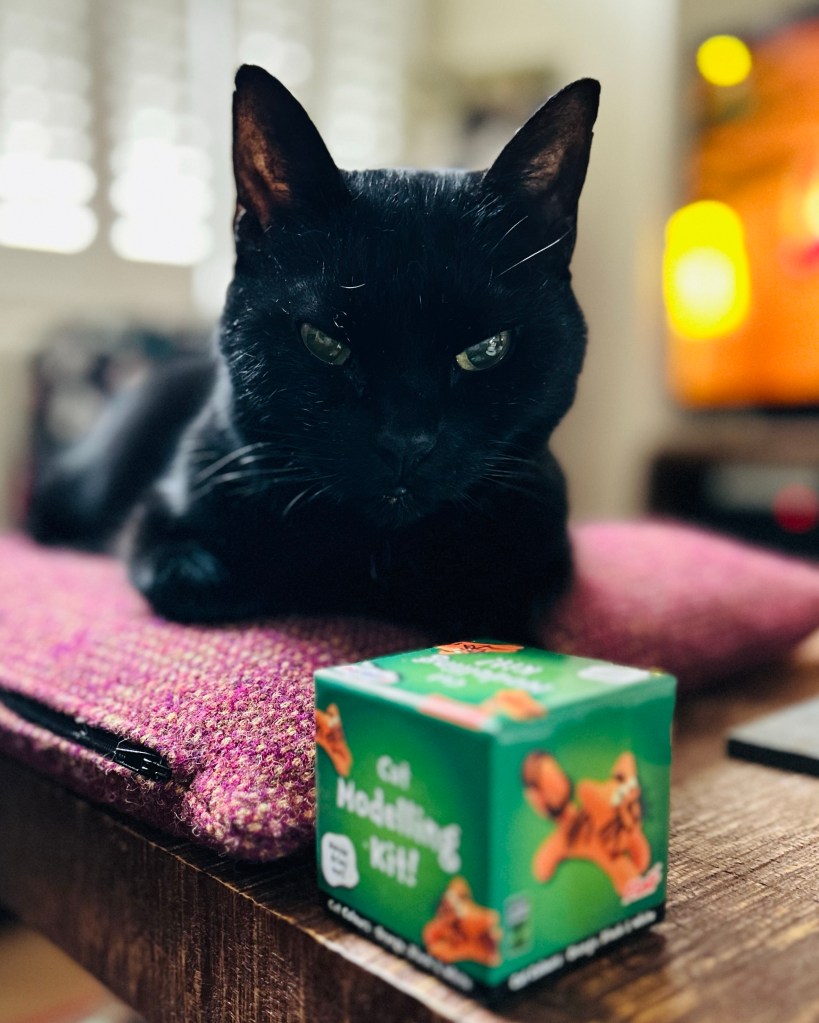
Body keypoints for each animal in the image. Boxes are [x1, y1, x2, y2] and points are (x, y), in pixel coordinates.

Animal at [27, 65, 600, 640]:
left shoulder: (549, 545)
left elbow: (503, 605)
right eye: (324, 342)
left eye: (485, 351)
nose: (406, 442)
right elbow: (217, 578)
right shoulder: (161, 524)